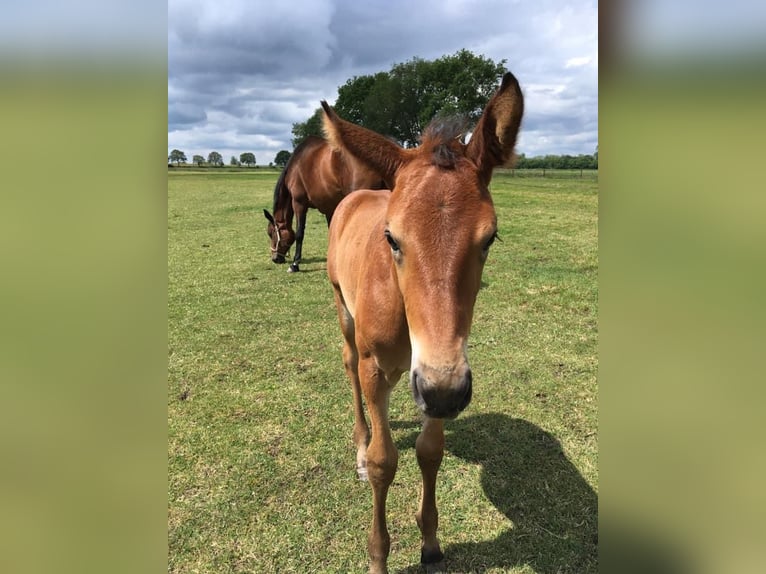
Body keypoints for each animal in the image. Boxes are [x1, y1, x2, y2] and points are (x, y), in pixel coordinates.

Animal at [262, 135, 384, 272]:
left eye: (271, 232)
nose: (275, 258)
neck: (295, 167)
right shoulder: (329, 208)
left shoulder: (299, 204)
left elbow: (299, 233)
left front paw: (295, 264)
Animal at [324, 73, 528, 574]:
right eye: (391, 237)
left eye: (490, 237)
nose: (445, 393)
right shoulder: (379, 368)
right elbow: (384, 462)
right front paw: (378, 556)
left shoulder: (436, 374)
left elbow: (429, 451)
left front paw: (431, 541)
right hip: (342, 309)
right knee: (347, 364)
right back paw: (360, 442)